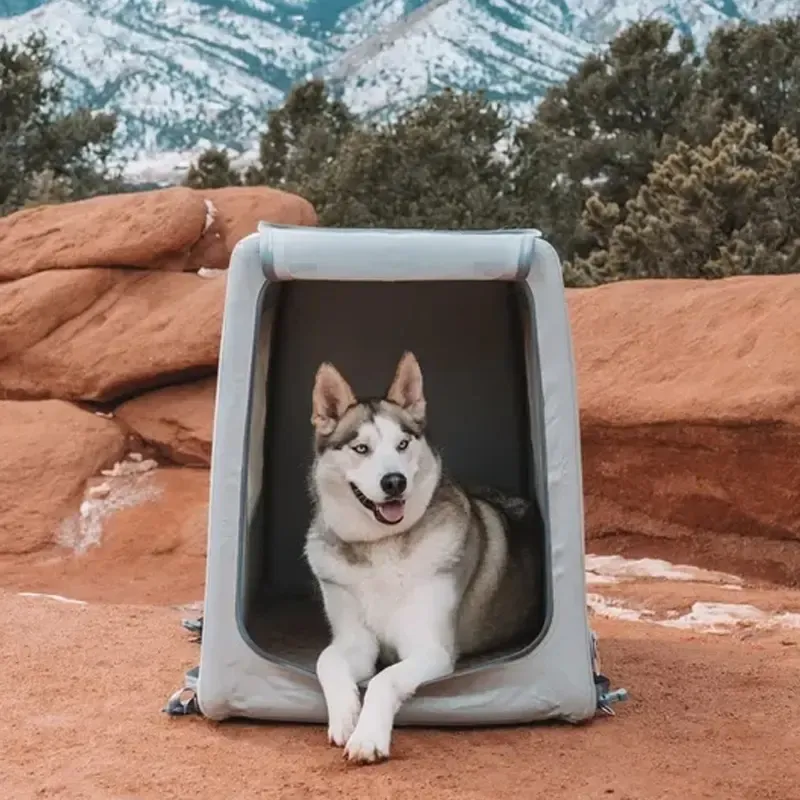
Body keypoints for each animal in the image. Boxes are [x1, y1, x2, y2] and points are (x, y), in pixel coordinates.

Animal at [304, 354, 540, 764]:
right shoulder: (355, 641)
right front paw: (345, 716)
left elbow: (384, 679)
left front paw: (368, 736)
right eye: (361, 449)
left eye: (402, 444)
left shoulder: (430, 649)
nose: (394, 481)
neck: (381, 547)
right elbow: (327, 661)